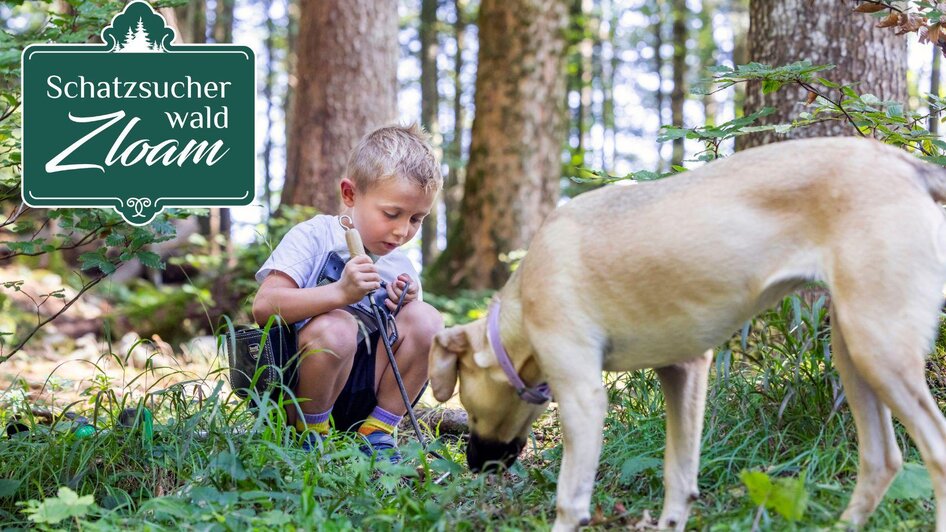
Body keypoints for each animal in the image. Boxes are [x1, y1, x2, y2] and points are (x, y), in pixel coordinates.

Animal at [430, 138, 946, 532]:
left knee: (936, 451)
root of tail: (908, 166)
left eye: (467, 406)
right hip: (852, 350)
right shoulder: (684, 371)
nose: (473, 464)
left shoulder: (583, 398)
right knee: (882, 461)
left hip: (879, 350)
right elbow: (678, 478)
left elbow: (570, 502)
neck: (521, 306)